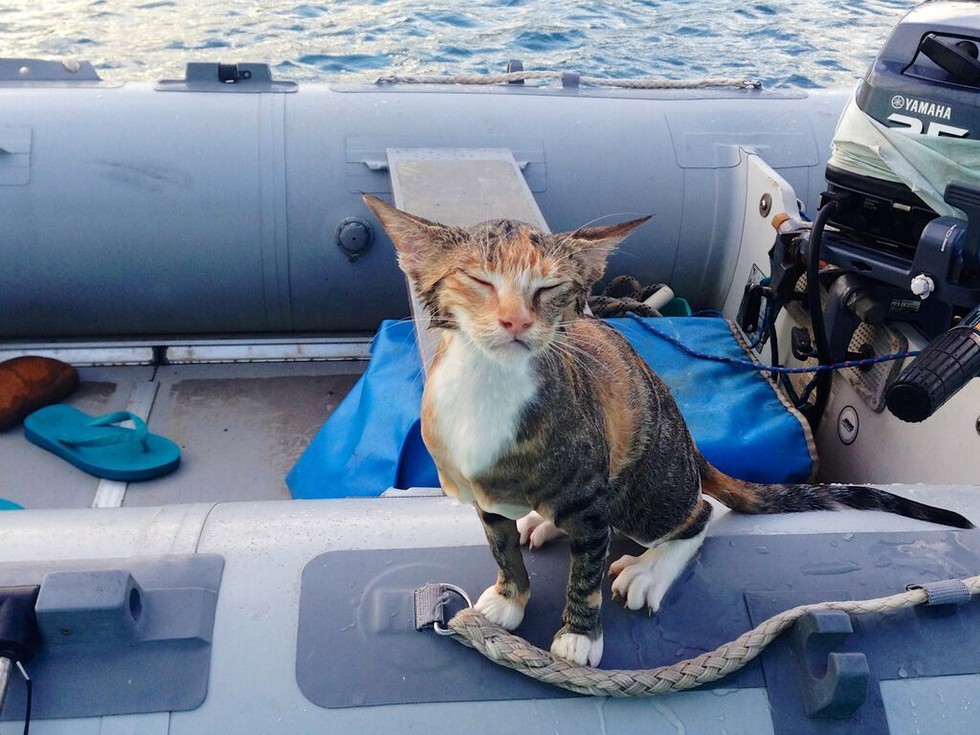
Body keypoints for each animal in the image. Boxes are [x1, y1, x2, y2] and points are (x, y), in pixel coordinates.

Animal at [362, 193, 972, 668]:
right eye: (479, 279)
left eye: (549, 288)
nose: (516, 321)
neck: (490, 388)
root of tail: (690, 444)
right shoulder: (482, 493)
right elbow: (499, 544)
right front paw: (509, 597)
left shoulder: (591, 491)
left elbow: (587, 571)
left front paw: (579, 635)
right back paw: (543, 521)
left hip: (646, 487)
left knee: (699, 511)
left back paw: (649, 567)